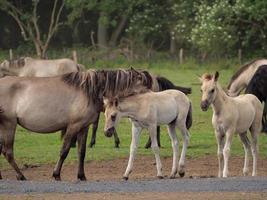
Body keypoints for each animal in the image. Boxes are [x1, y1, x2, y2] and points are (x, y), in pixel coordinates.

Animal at [0, 68, 153, 180]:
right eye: (144, 89)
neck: (89, 91)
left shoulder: (83, 128)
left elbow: (81, 152)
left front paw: (81, 176)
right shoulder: (73, 126)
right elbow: (64, 151)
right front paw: (56, 174)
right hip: (9, 125)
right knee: (8, 152)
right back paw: (21, 176)